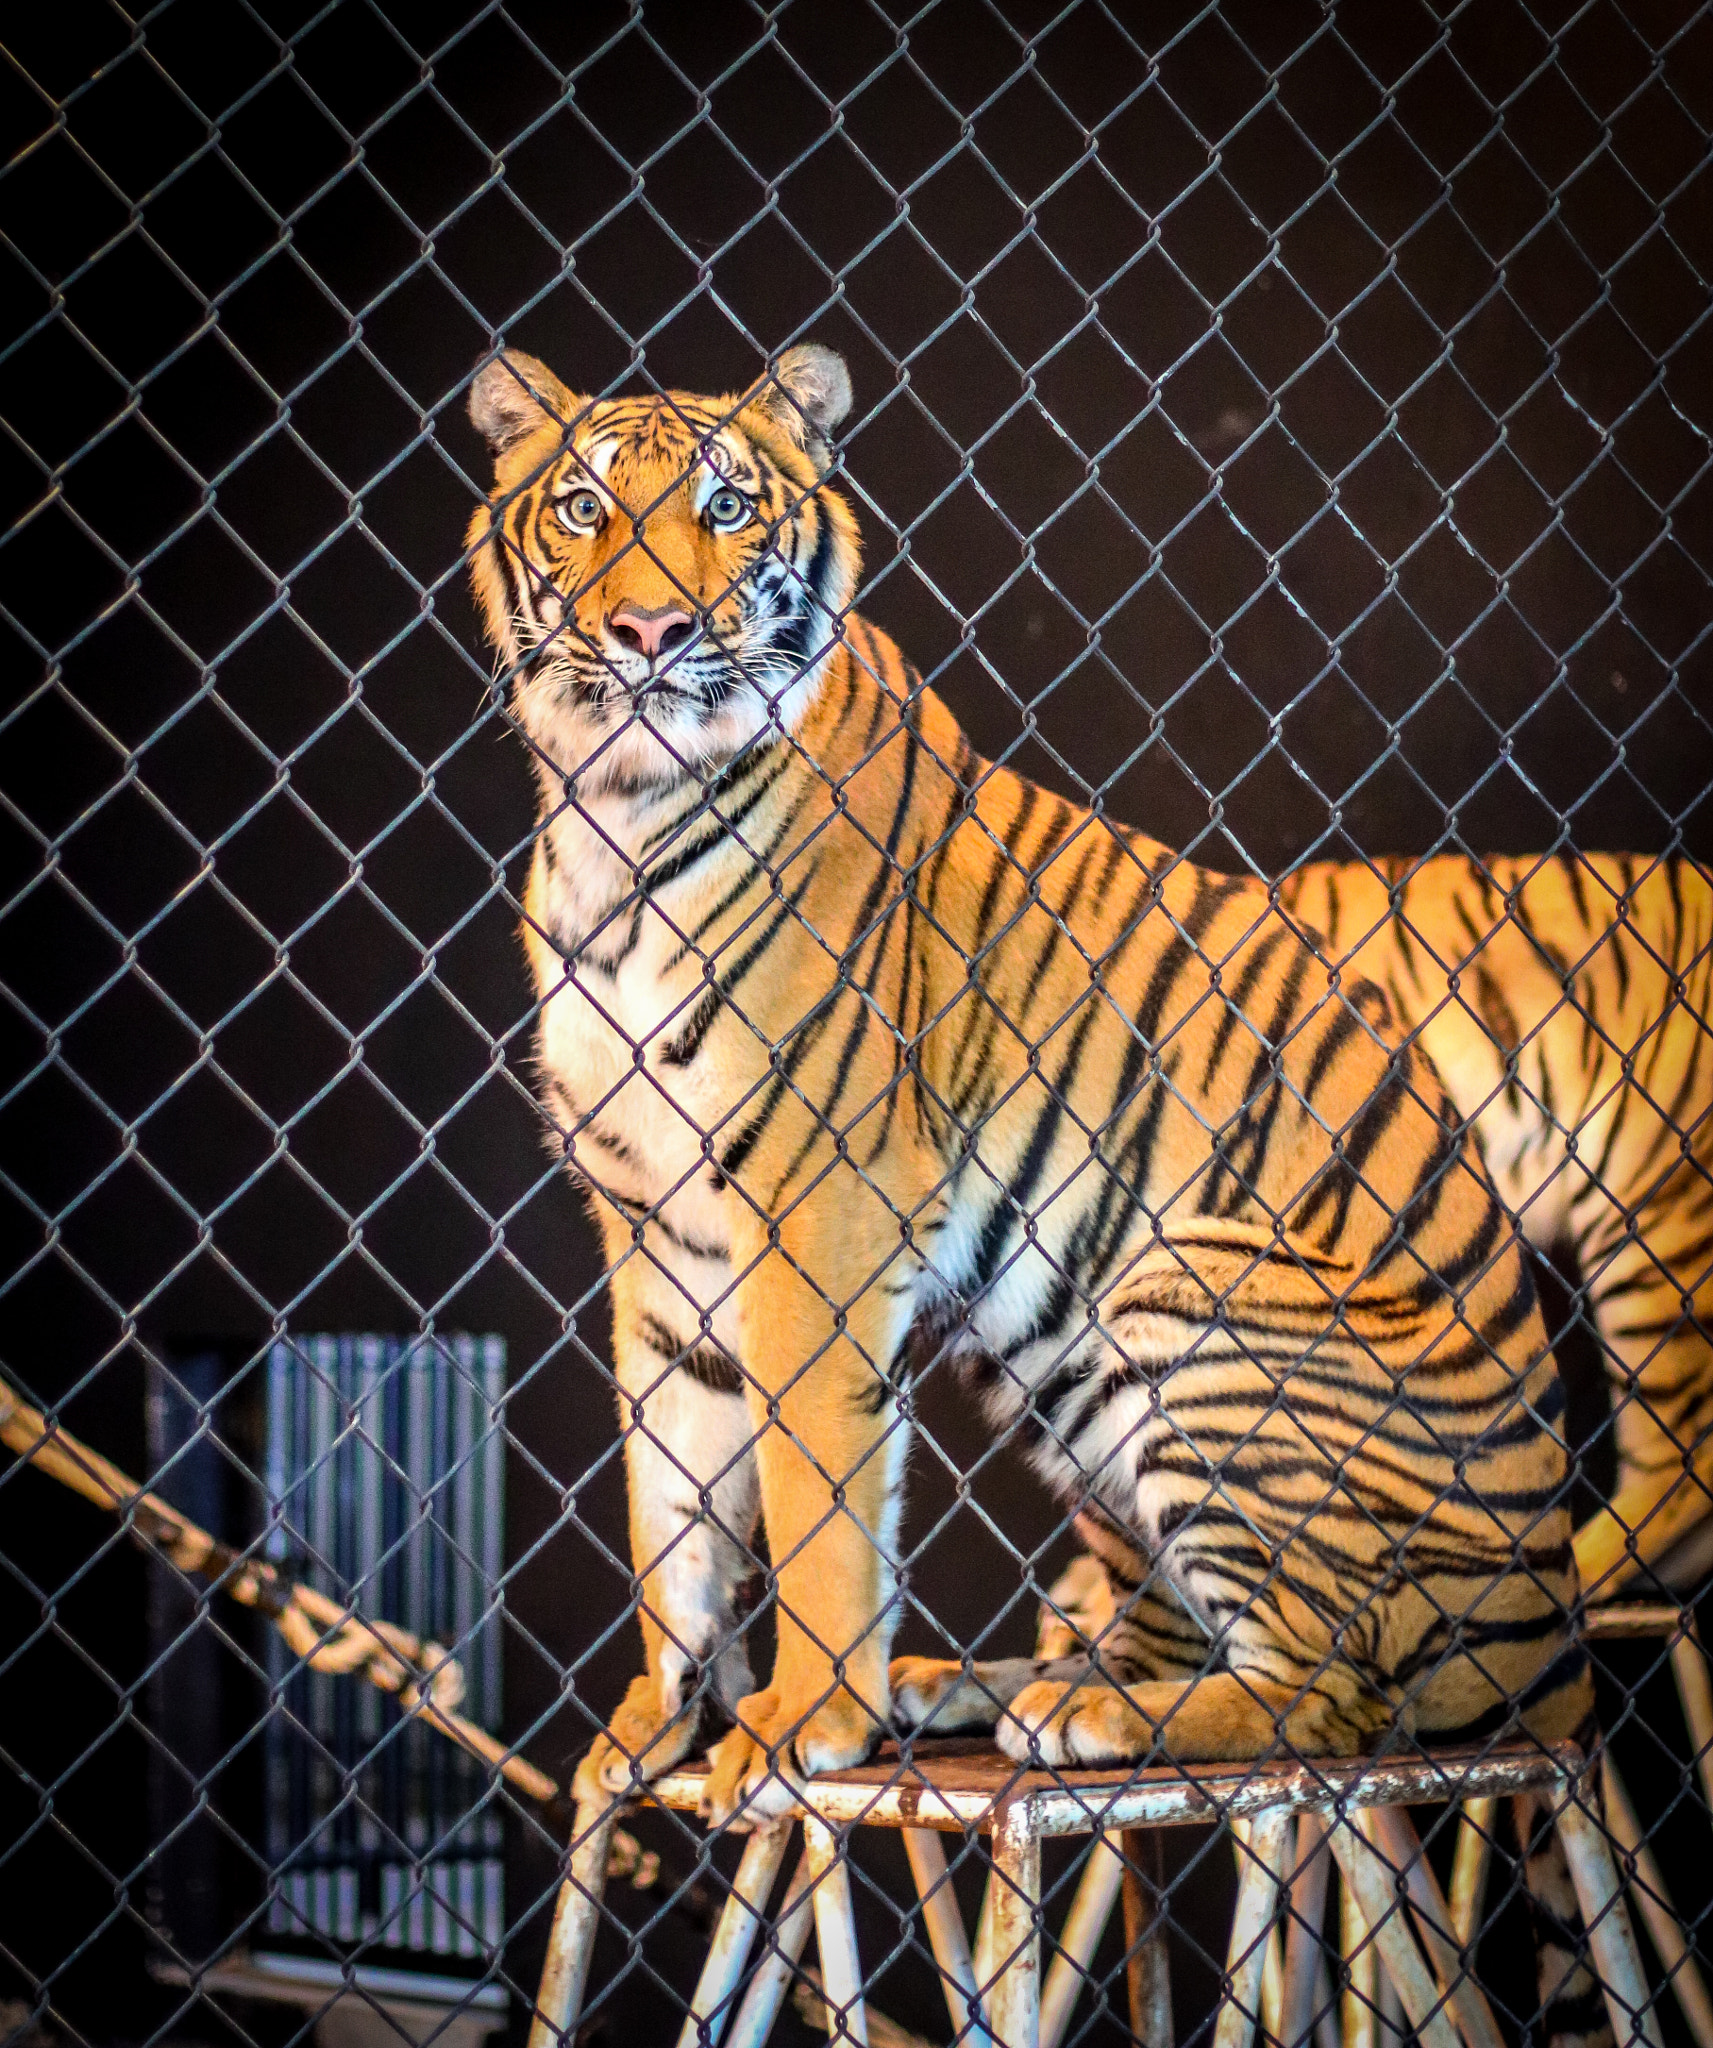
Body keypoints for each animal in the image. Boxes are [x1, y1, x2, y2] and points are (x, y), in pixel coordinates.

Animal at [465, 340, 1598, 2004]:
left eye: (726, 510)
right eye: (584, 509)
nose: (653, 630)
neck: (617, 815)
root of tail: (1558, 1610)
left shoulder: (814, 1214)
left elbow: (804, 1494)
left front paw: (797, 1728)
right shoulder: (653, 1231)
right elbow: (668, 1489)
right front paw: (655, 1724)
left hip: (1179, 1282)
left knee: (1326, 1689)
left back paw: (1087, 1718)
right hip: (1071, 1374)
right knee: (1186, 1628)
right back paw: (979, 1689)